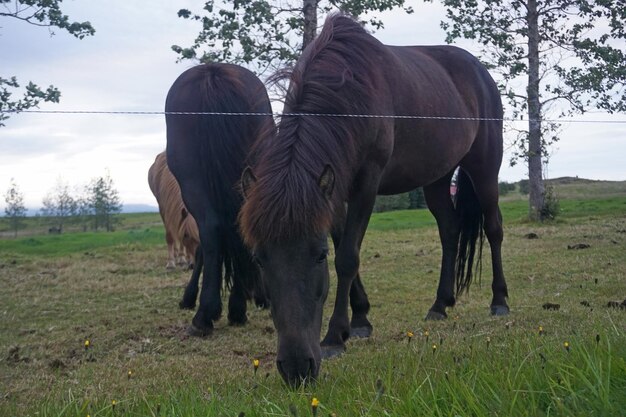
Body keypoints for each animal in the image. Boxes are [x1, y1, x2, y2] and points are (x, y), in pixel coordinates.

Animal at [165, 62, 272, 334]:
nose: (264, 298)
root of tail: (213, 72)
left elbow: (203, 249)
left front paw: (190, 298)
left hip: (192, 183)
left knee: (212, 232)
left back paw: (205, 316)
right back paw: (233, 310)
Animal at [239, 14, 508, 386]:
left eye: (318, 256)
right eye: (259, 258)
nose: (296, 369)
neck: (347, 91)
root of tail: (480, 70)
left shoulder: (366, 182)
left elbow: (347, 257)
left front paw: (335, 336)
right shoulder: (332, 189)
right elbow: (344, 245)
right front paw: (360, 320)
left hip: (484, 166)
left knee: (494, 228)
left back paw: (499, 301)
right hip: (437, 177)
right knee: (450, 231)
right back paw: (440, 305)